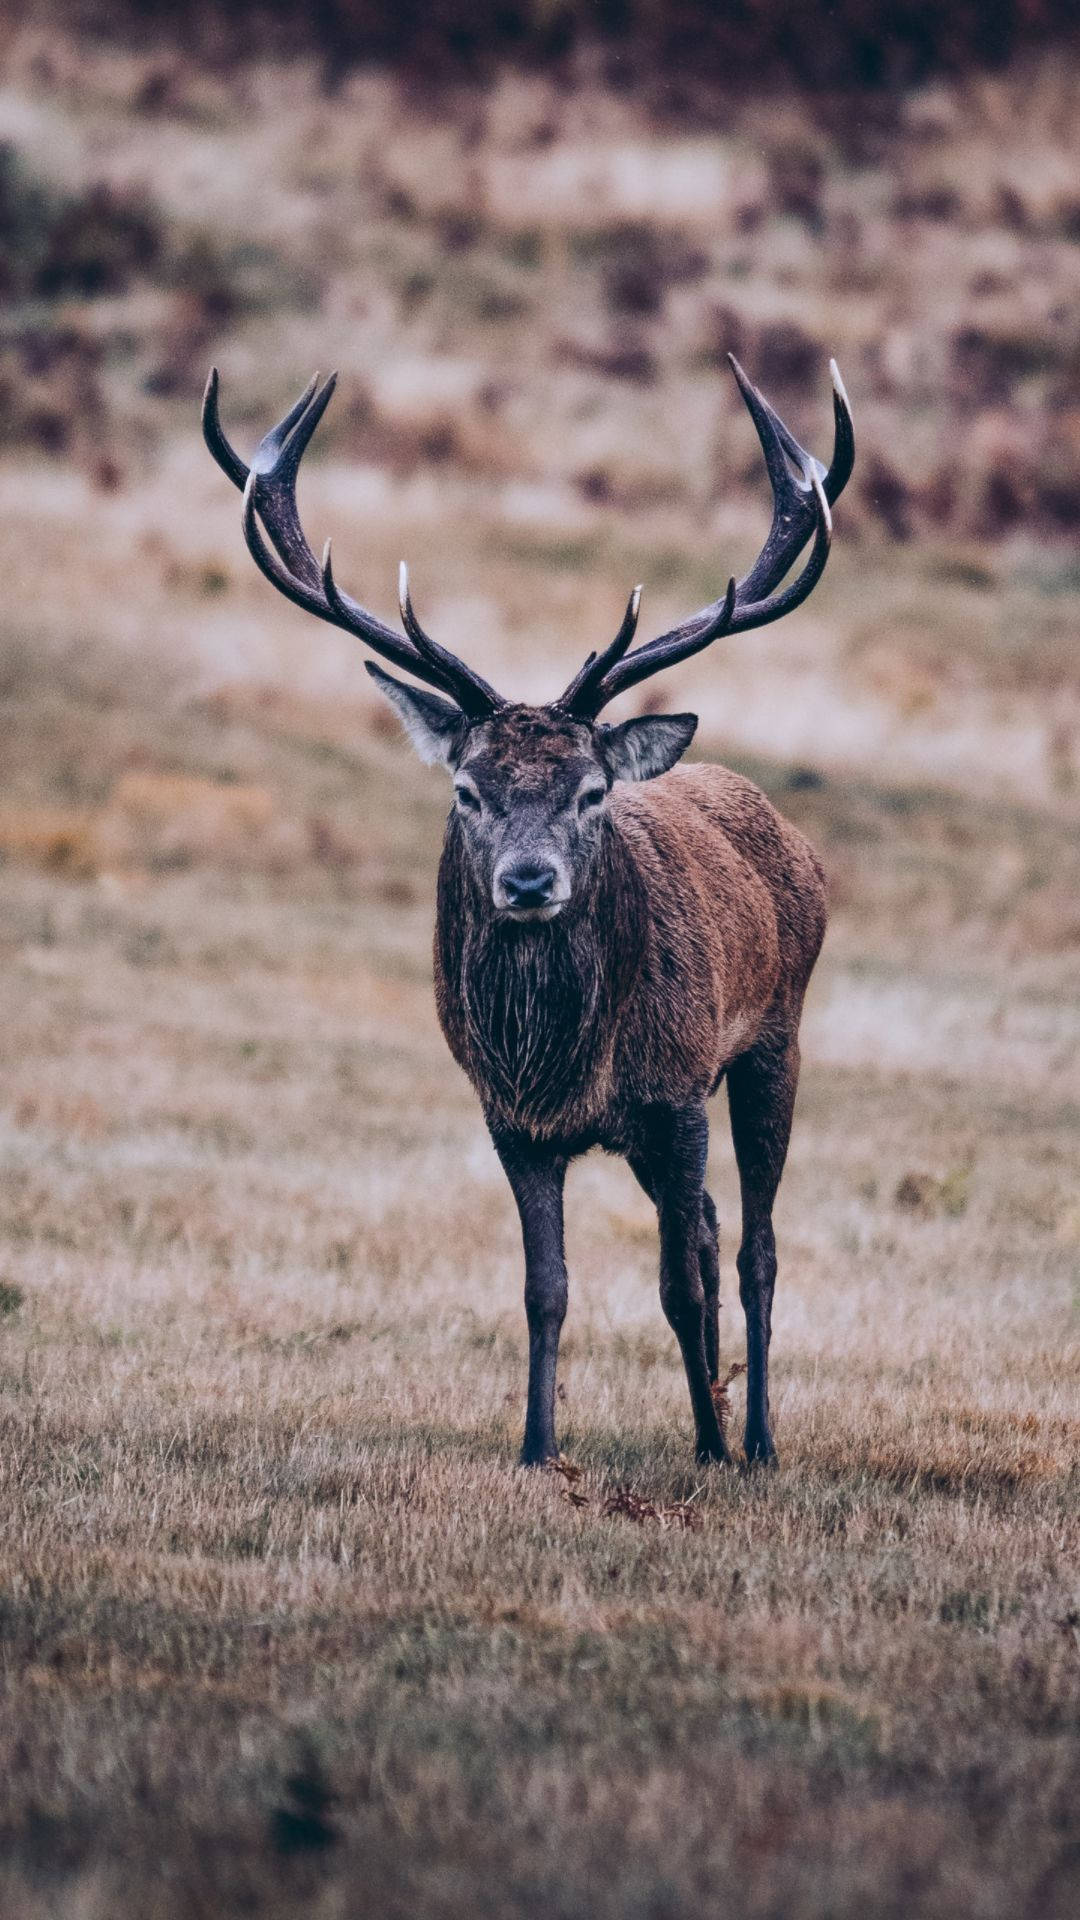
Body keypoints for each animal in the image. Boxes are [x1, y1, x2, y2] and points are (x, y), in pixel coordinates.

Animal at [203, 353, 853, 1469]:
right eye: (468, 787)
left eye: (591, 792)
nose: (529, 881)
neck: (564, 1059)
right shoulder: (511, 1117)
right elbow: (545, 1288)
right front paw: (537, 1447)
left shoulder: (676, 1091)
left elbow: (680, 1283)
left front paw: (712, 1448)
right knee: (711, 1225)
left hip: (775, 1037)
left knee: (755, 1245)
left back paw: (756, 1439)